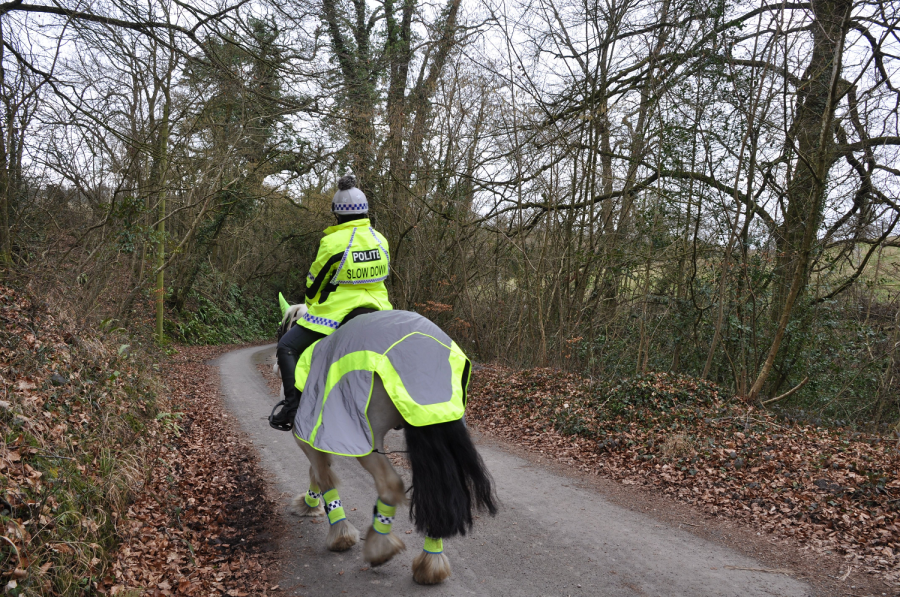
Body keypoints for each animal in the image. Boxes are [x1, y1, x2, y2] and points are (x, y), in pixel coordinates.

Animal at [274, 300, 500, 584]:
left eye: (281, 328)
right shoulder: (321, 434)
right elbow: (318, 472)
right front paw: (309, 504)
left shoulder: (309, 433)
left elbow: (322, 474)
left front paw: (338, 533)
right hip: (436, 421)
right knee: (439, 495)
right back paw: (431, 564)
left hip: (369, 439)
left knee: (391, 485)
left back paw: (379, 548)